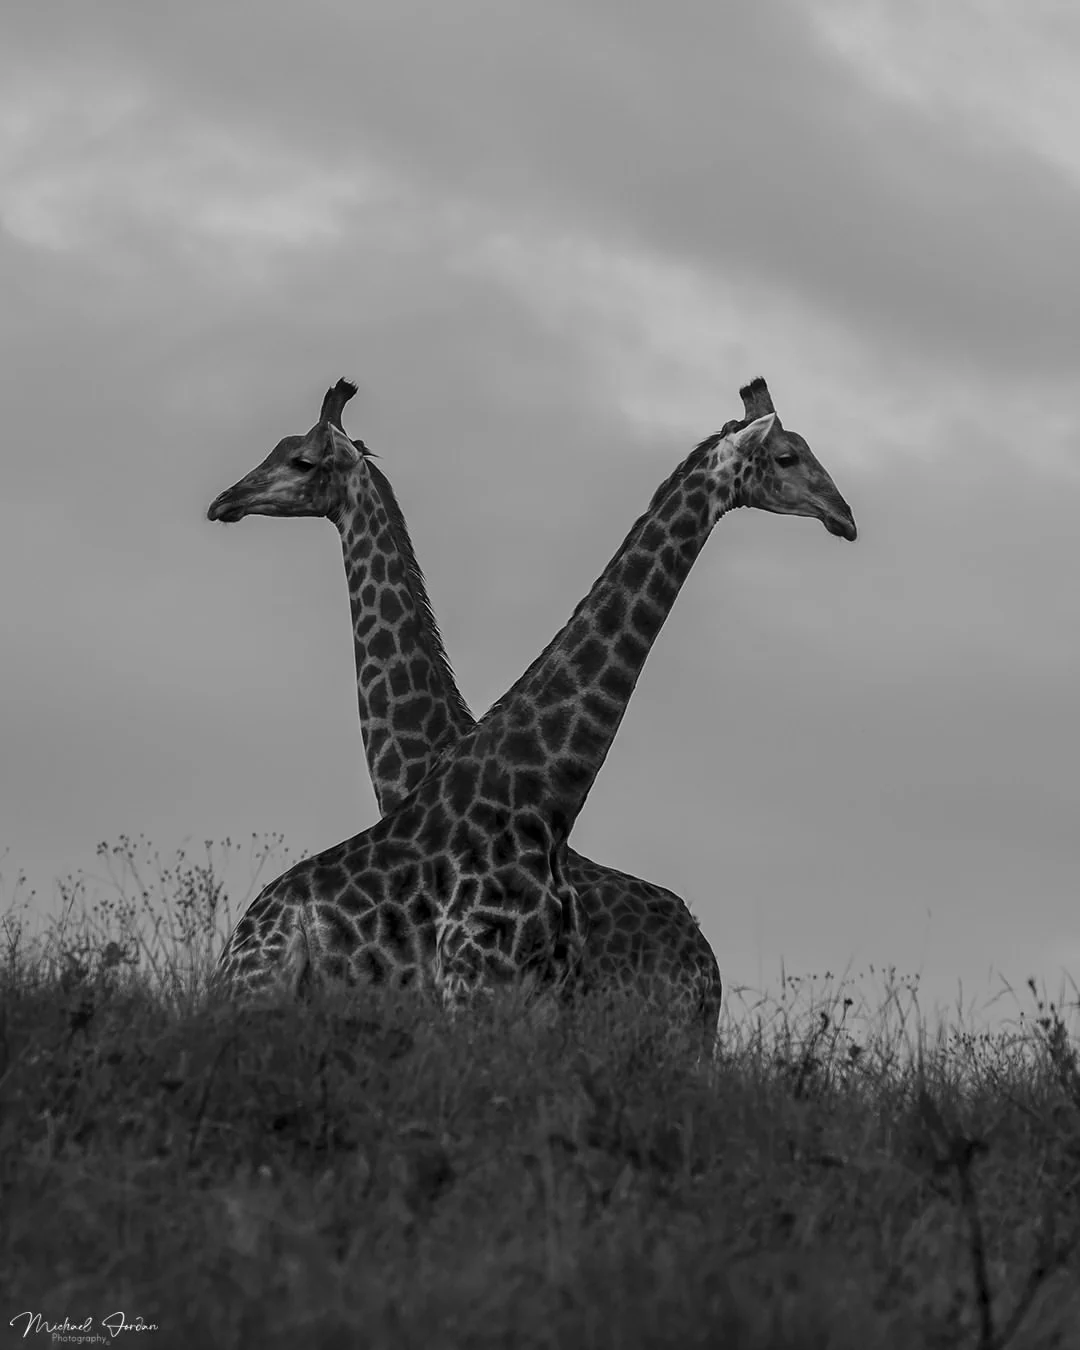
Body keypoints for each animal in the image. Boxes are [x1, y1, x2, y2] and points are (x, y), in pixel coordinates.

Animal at [207, 381, 856, 1016]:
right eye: (788, 456)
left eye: (300, 459)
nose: (844, 515)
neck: (537, 793)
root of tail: (709, 968)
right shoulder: (473, 983)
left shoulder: (497, 986)